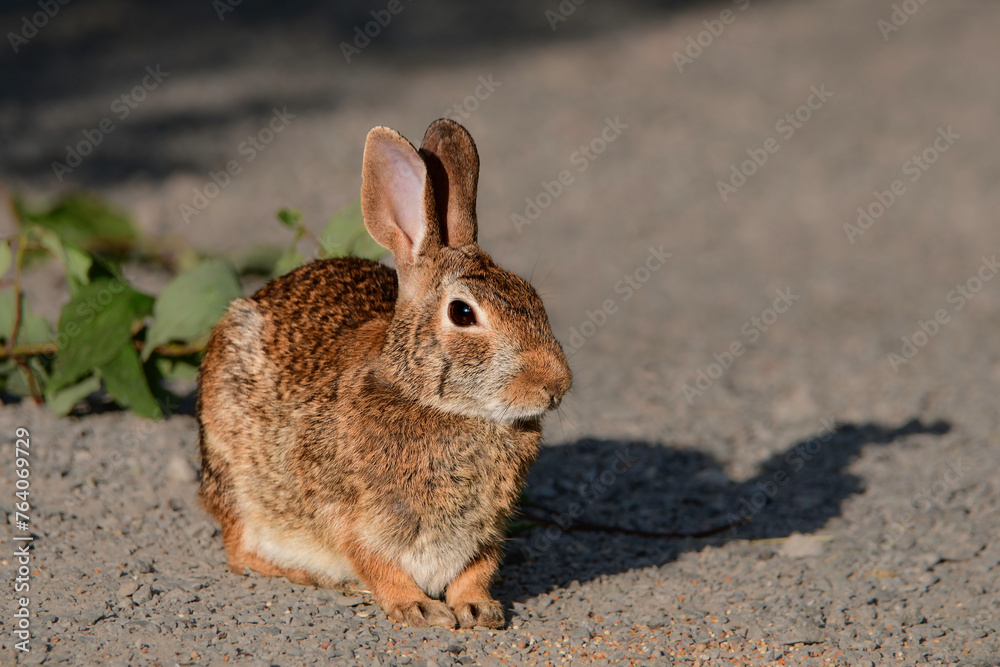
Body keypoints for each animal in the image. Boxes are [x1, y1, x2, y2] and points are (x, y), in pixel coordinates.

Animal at [195, 117, 572, 628]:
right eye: (462, 313)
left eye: (531, 296)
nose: (556, 386)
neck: (434, 402)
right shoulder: (352, 514)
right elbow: (374, 560)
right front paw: (418, 607)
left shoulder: (487, 529)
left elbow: (478, 568)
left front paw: (478, 608)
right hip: (237, 477)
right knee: (239, 550)